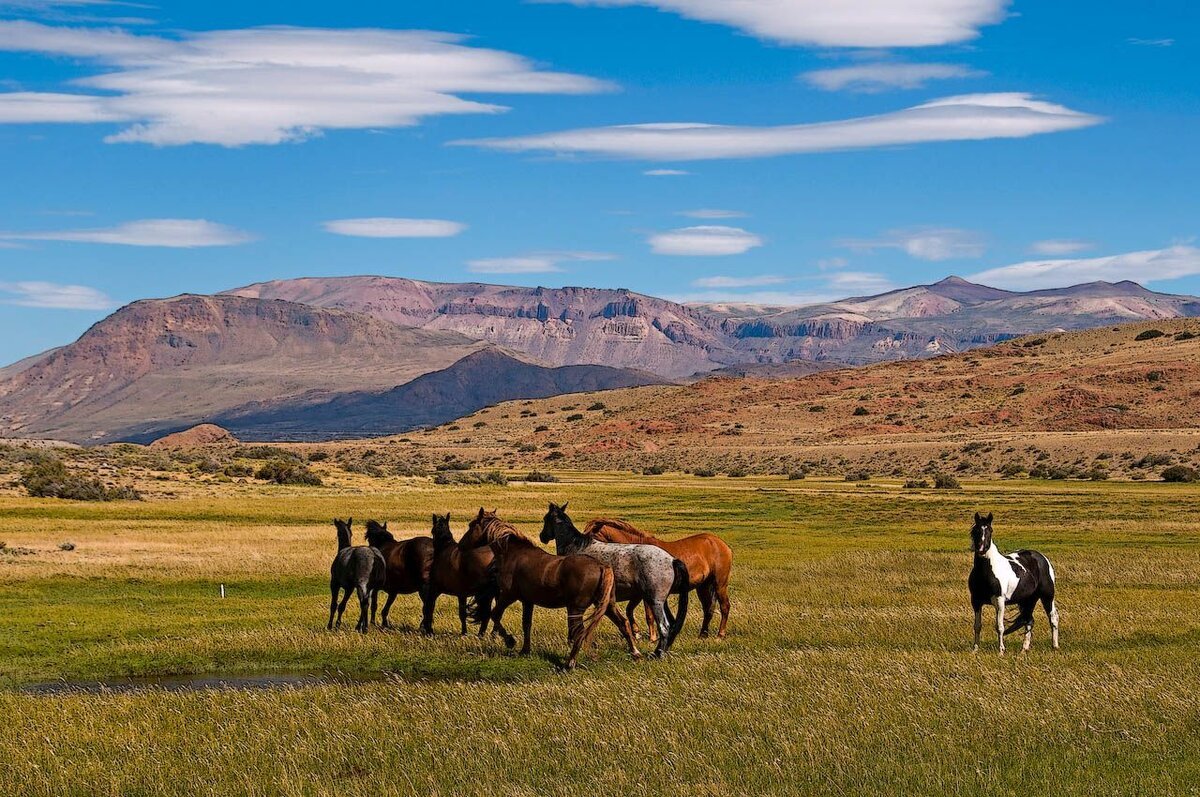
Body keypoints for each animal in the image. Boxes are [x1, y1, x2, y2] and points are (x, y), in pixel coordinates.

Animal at [468, 506, 643, 667]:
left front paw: (510, 641)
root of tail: (602, 566)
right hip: (607, 605)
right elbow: (526, 624)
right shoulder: (527, 601)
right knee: (623, 623)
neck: (514, 553)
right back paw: (635, 653)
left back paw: (570, 663)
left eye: (471, 525)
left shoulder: (508, 595)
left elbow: (495, 615)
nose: (465, 543)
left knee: (580, 632)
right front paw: (525, 650)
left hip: (576, 608)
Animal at [542, 501, 691, 657]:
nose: (542, 537)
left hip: (655, 602)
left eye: (546, 519)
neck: (575, 546)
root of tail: (672, 560)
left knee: (664, 627)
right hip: (660, 601)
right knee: (672, 624)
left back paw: (658, 653)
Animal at [583, 516, 729, 643]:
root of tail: (720, 543)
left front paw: (652, 637)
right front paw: (637, 633)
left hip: (720, 584)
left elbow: (648, 616)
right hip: (703, 586)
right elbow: (629, 611)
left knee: (724, 606)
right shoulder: (638, 594)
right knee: (708, 609)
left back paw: (720, 635)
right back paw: (703, 635)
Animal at [964, 513, 1060, 657]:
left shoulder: (1000, 601)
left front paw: (1001, 651)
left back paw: (1055, 646)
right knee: (1029, 620)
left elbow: (999, 627)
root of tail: (1042, 558)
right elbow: (977, 626)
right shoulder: (976, 601)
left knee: (1053, 617)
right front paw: (975, 650)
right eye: (975, 530)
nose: (981, 549)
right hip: (1028, 600)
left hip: (1047, 596)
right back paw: (1024, 649)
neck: (986, 571)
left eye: (990, 530)